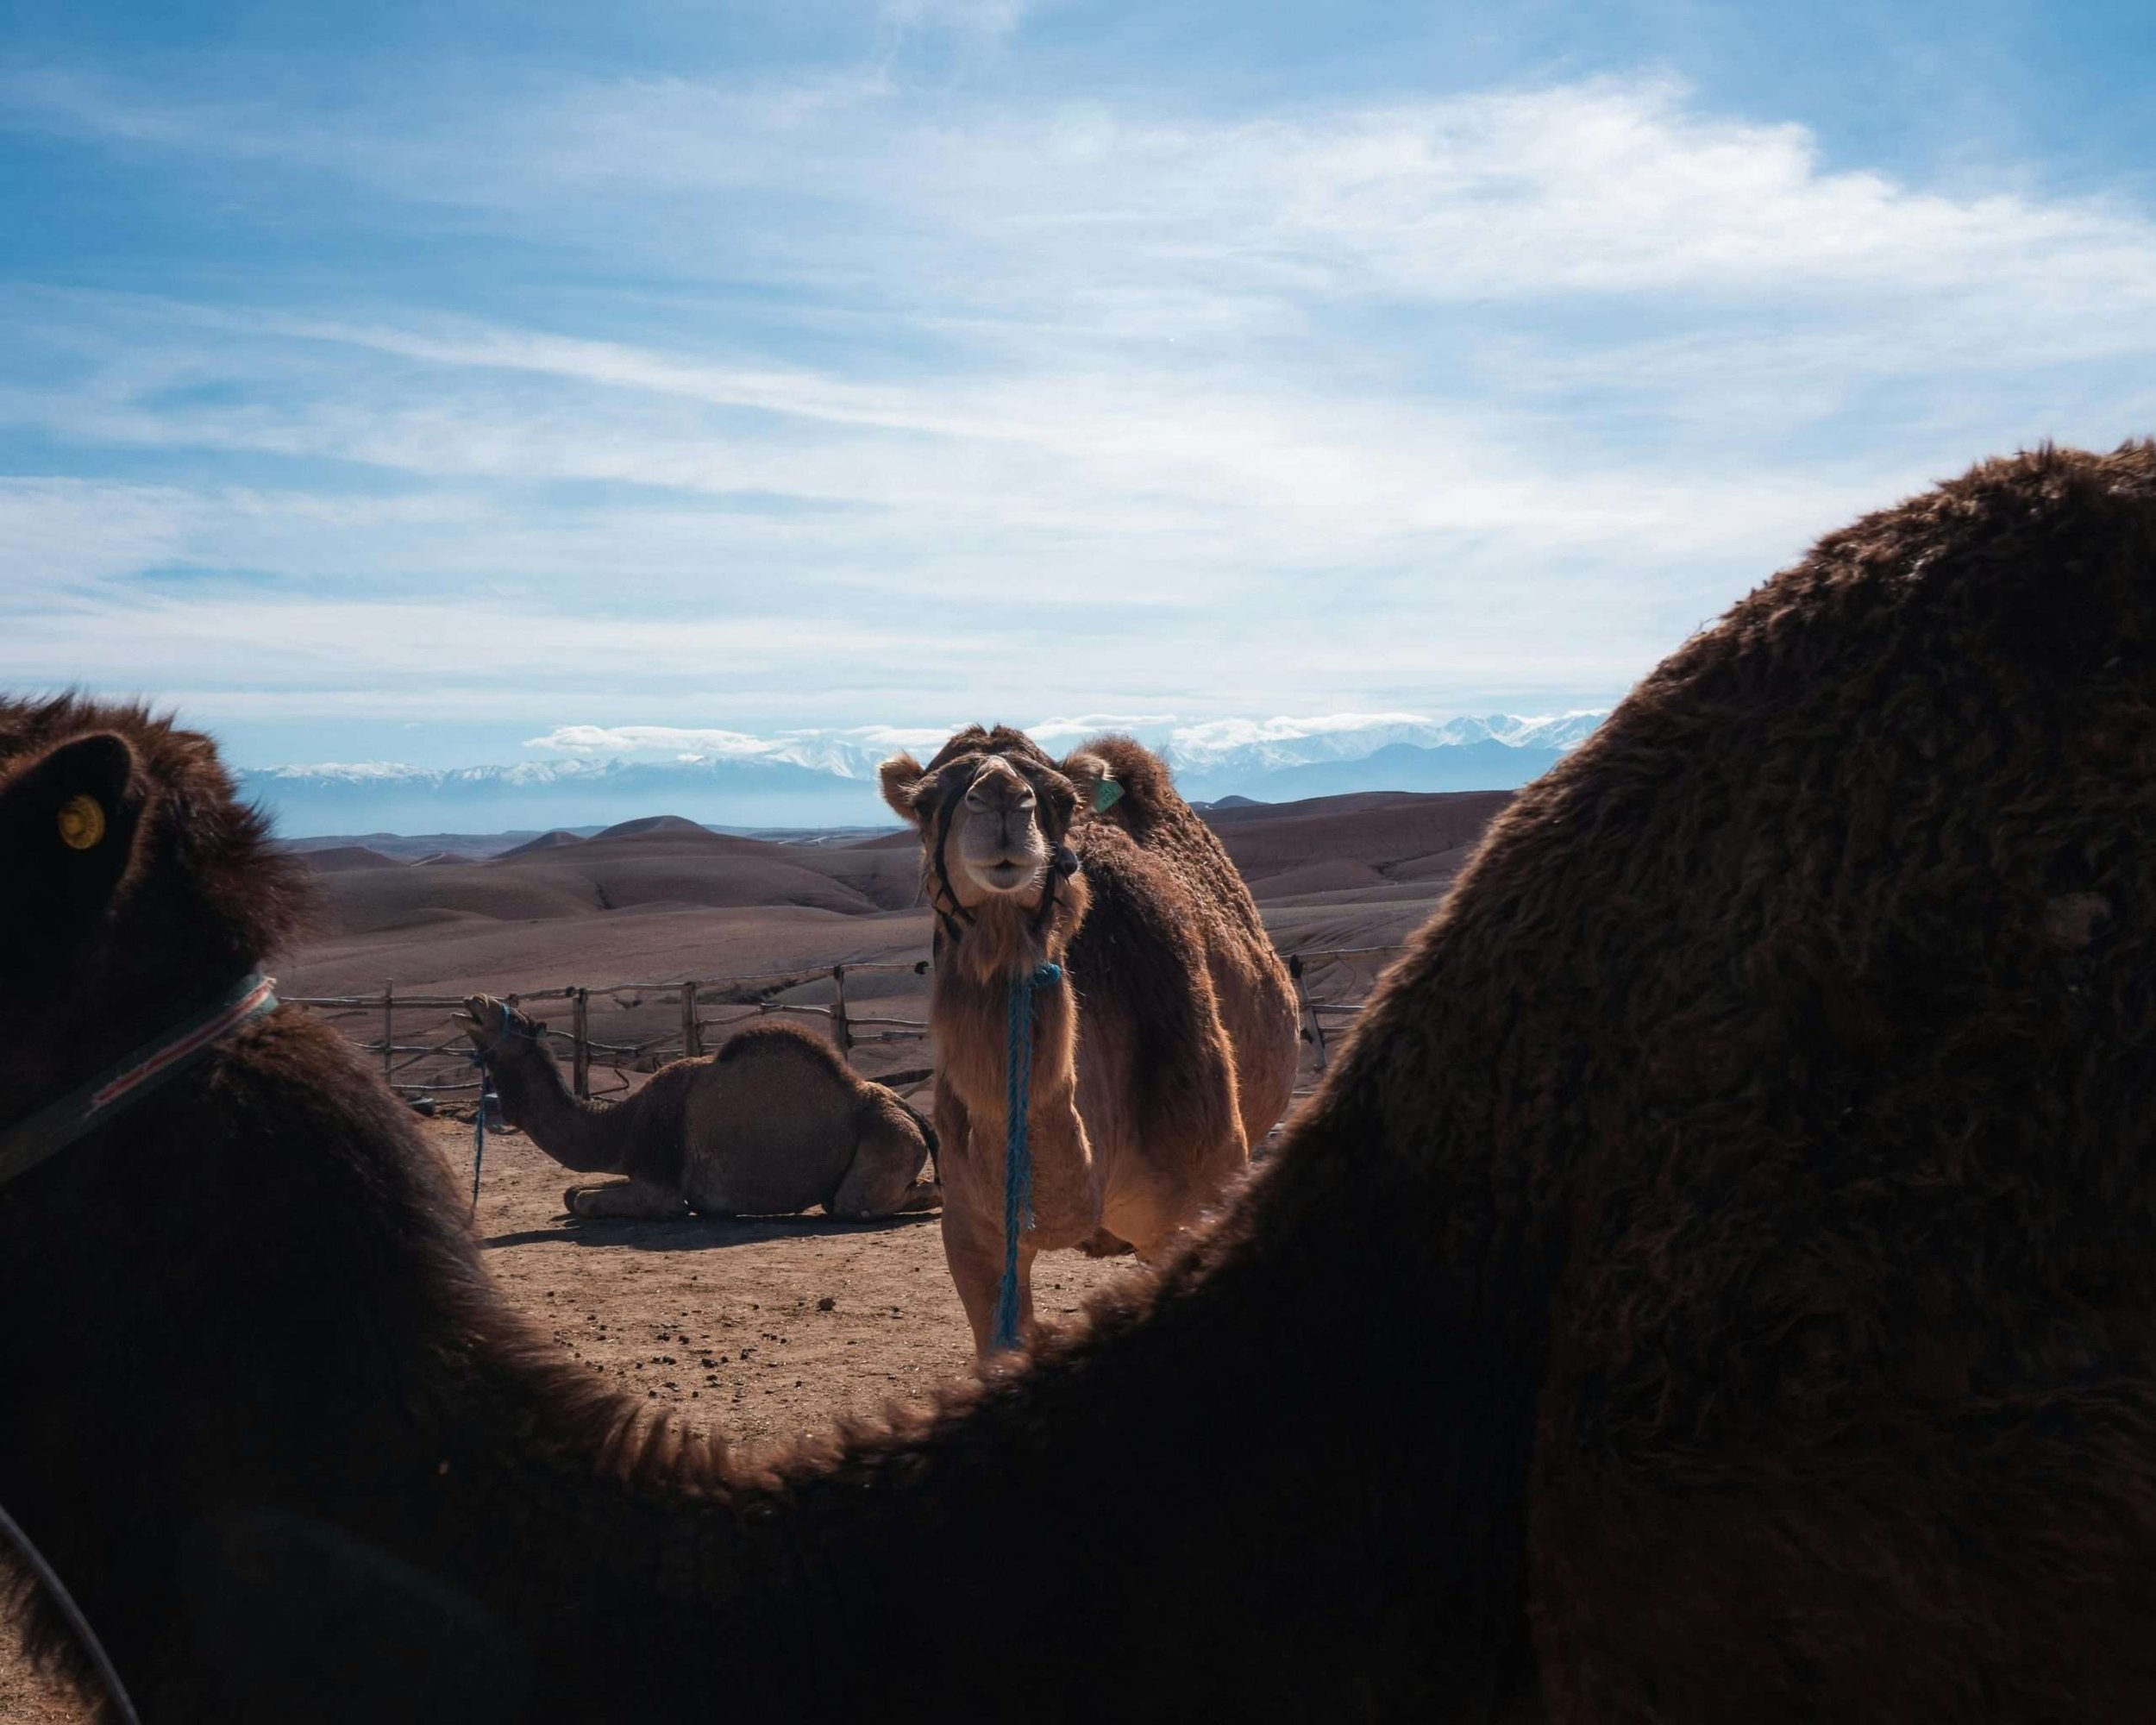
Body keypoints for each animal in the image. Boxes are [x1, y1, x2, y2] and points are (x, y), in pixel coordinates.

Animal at [454, 998, 939, 1221]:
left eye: (513, 1019)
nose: (475, 1002)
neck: (622, 1124)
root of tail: (913, 1114)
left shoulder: (661, 1185)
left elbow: (587, 1201)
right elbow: (571, 1193)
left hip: (888, 1138)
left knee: (854, 1203)